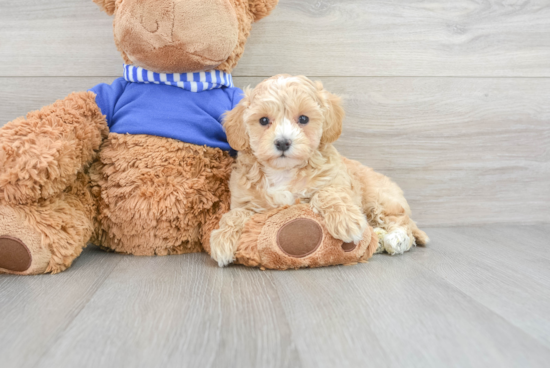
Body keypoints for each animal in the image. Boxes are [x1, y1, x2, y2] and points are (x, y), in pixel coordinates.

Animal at [209, 75, 430, 266]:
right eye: (263, 121)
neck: (284, 172)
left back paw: (395, 240)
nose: (282, 142)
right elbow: (234, 215)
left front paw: (346, 221)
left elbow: (328, 192)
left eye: (303, 119)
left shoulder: (335, 179)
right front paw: (222, 240)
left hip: (380, 200)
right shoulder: (244, 201)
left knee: (402, 224)